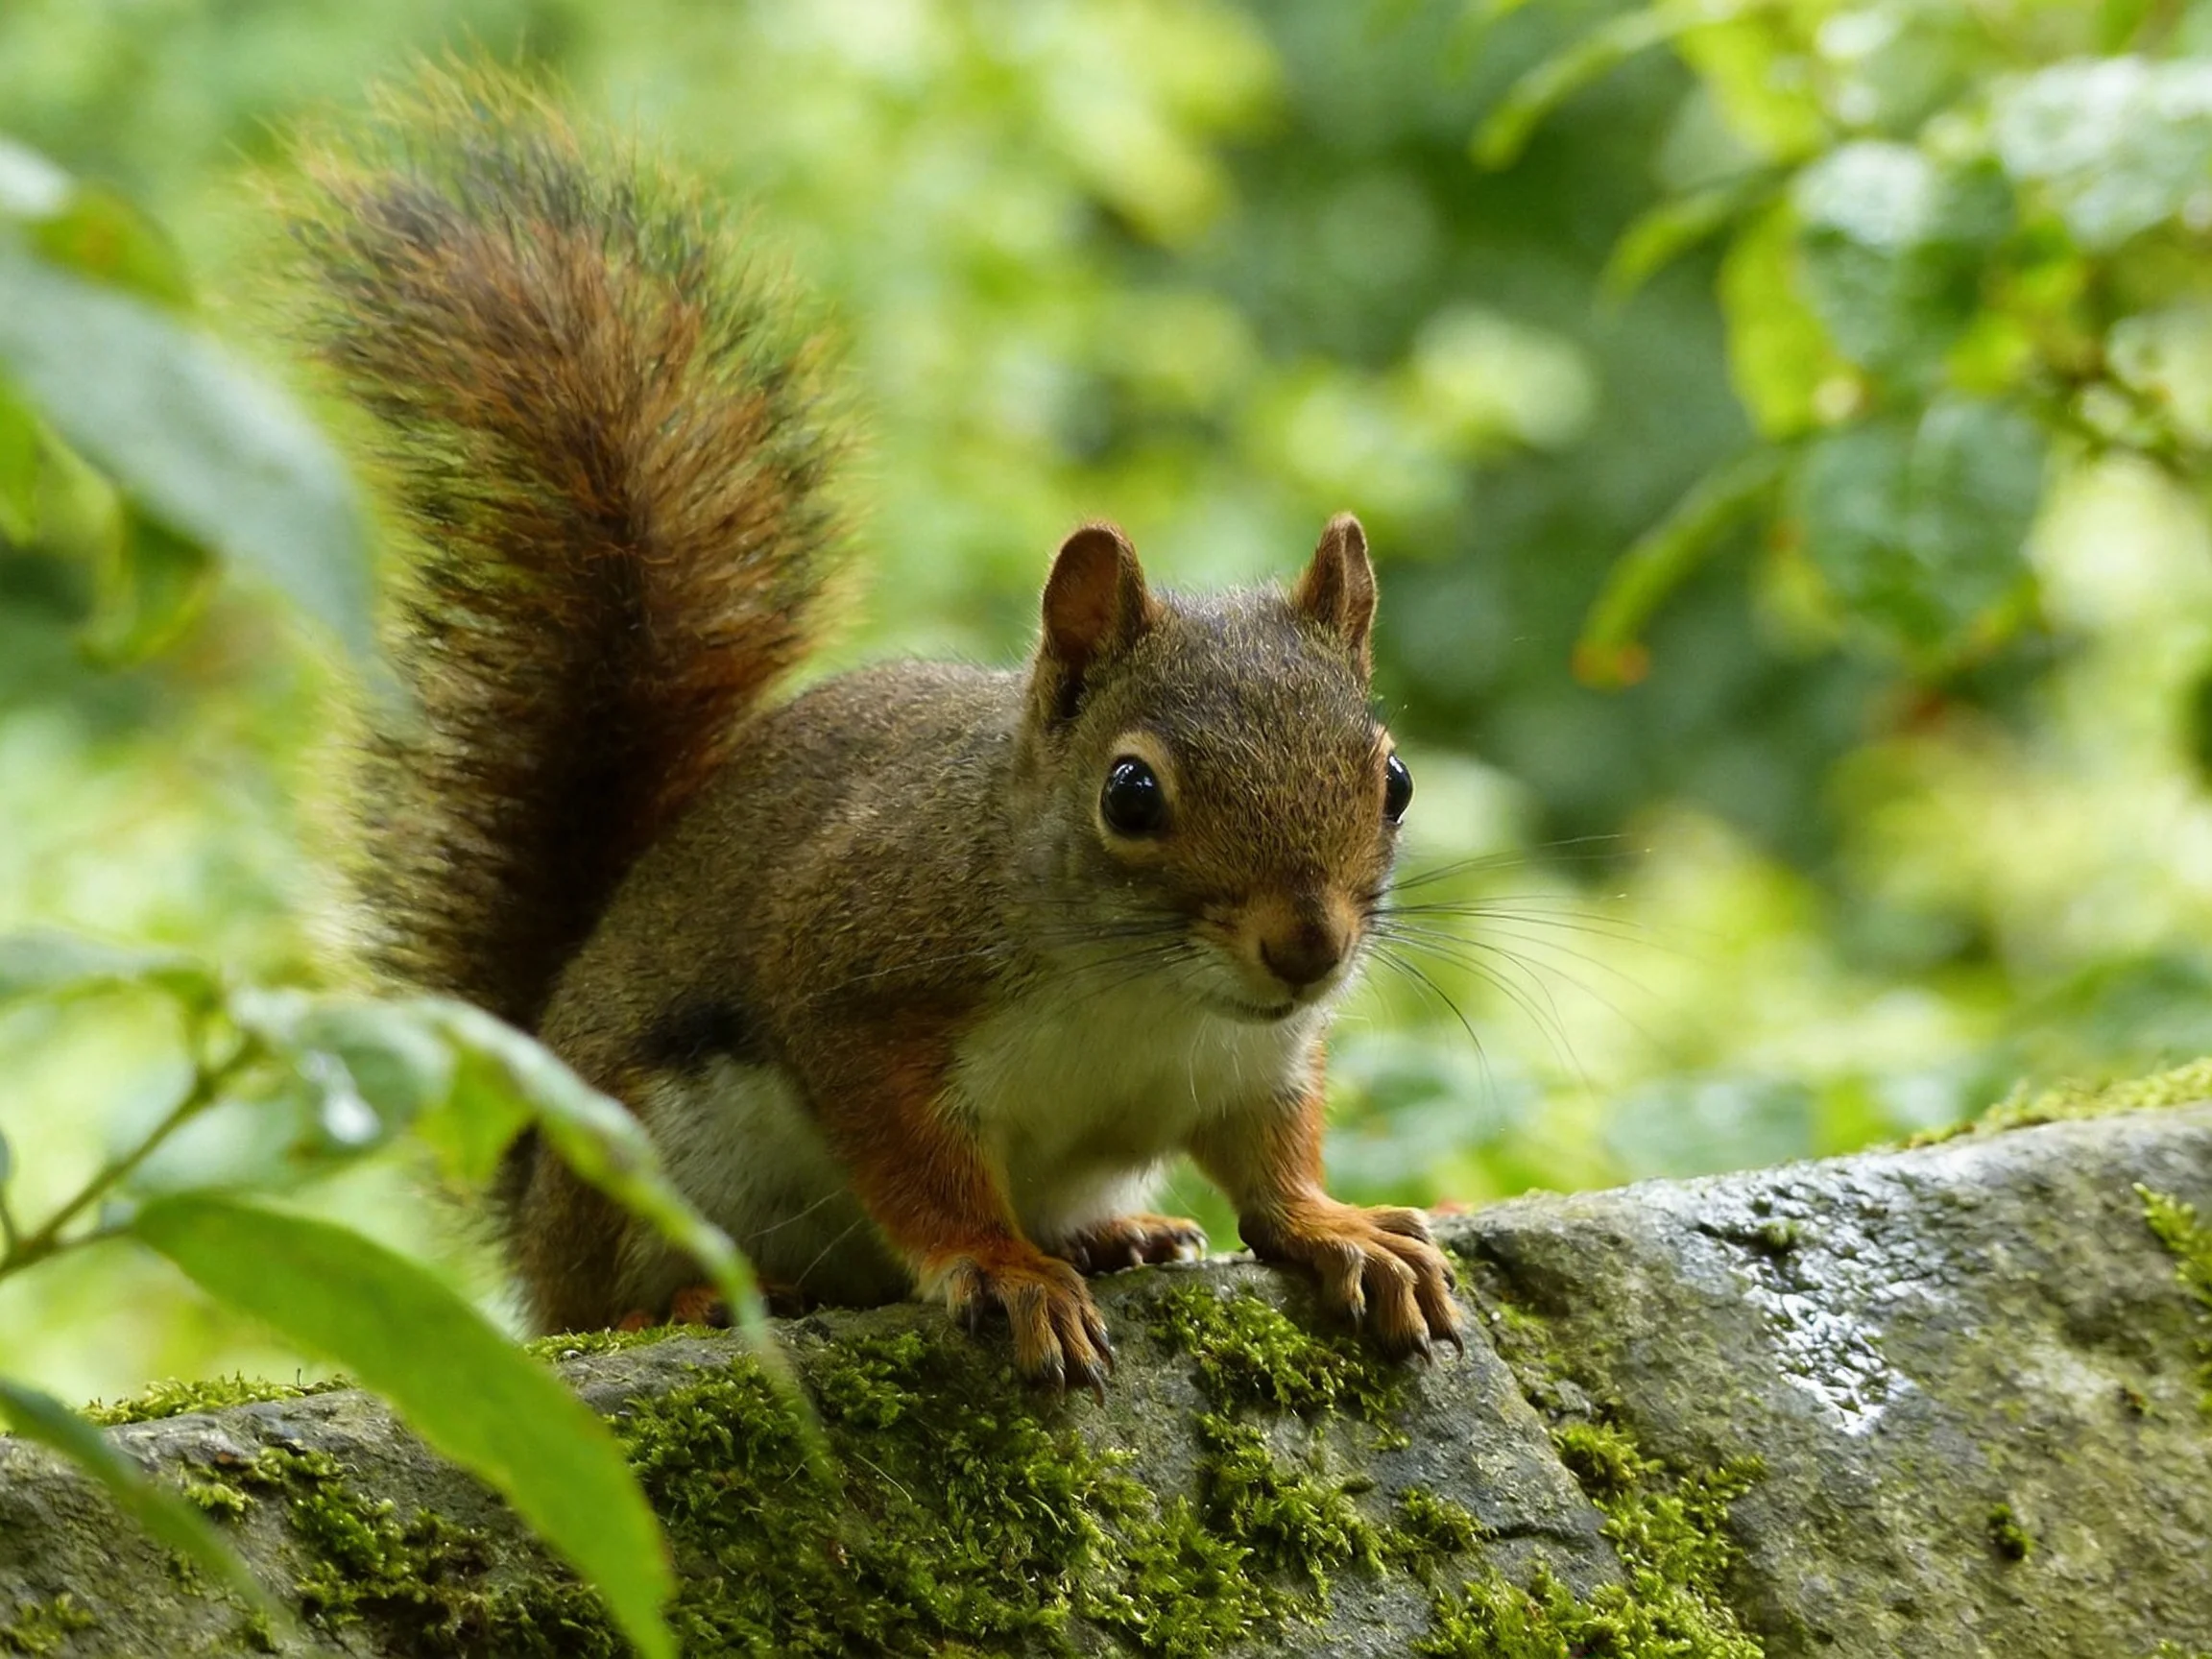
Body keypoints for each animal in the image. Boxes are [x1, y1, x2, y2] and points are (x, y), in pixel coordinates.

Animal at [287, 70, 1462, 1394]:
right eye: (1131, 795)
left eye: (1395, 779)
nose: (1308, 947)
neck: (1144, 993)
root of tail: (529, 1186)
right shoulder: (855, 982)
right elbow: (917, 1164)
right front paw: (1004, 1270)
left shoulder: (1257, 1064)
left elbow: (1272, 1164)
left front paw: (1340, 1229)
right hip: (629, 1170)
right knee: (596, 1302)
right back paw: (700, 1300)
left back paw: (1118, 1234)